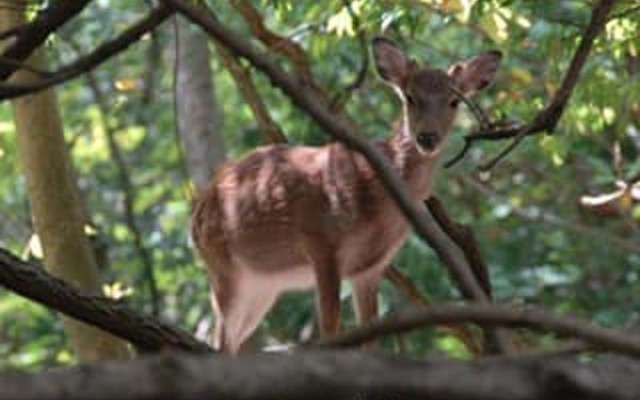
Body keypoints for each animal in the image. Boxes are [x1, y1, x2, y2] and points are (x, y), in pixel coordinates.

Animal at [192, 36, 502, 350]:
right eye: (410, 97)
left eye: (454, 101)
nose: (427, 137)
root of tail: (197, 212)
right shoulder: (320, 240)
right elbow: (330, 327)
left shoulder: (370, 267)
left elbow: (371, 333)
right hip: (223, 266)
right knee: (220, 339)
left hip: (262, 285)